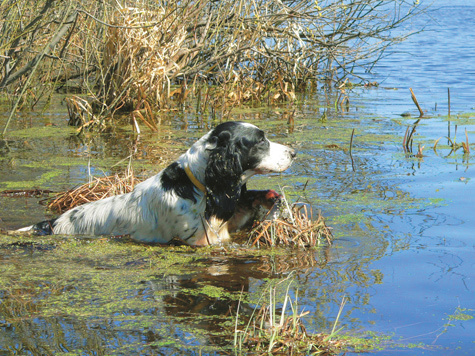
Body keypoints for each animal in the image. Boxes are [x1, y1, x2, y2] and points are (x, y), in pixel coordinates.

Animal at [19, 121, 298, 245]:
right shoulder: (198, 240)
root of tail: (50, 224)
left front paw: (272, 198)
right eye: (260, 141)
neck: (199, 187)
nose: (294, 153)